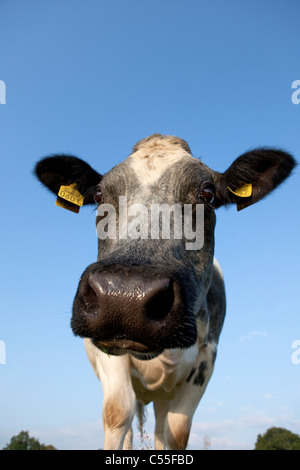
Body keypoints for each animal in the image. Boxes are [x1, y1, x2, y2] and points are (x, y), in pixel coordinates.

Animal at [34, 134, 296, 450]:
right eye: (98, 196)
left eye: (207, 194)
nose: (124, 295)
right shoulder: (108, 347)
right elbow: (118, 414)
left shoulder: (206, 360)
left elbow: (177, 430)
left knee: (160, 429)